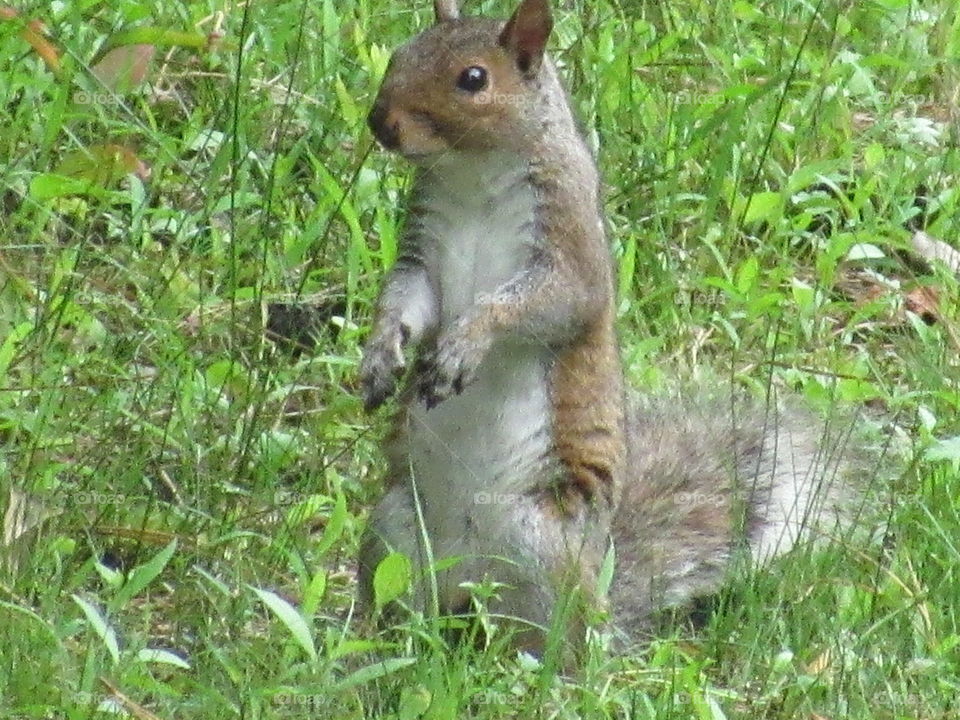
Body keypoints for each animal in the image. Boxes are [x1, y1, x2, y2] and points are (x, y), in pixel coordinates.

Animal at [357, 0, 849, 659]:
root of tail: (469, 583)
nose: (380, 123)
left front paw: (466, 342)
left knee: (554, 649)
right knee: (399, 606)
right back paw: (377, 642)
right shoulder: (422, 247)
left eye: (473, 79)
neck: (473, 174)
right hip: (394, 533)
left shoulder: (570, 254)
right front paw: (379, 357)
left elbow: (536, 306)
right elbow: (407, 300)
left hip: (547, 556)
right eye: (401, 52)